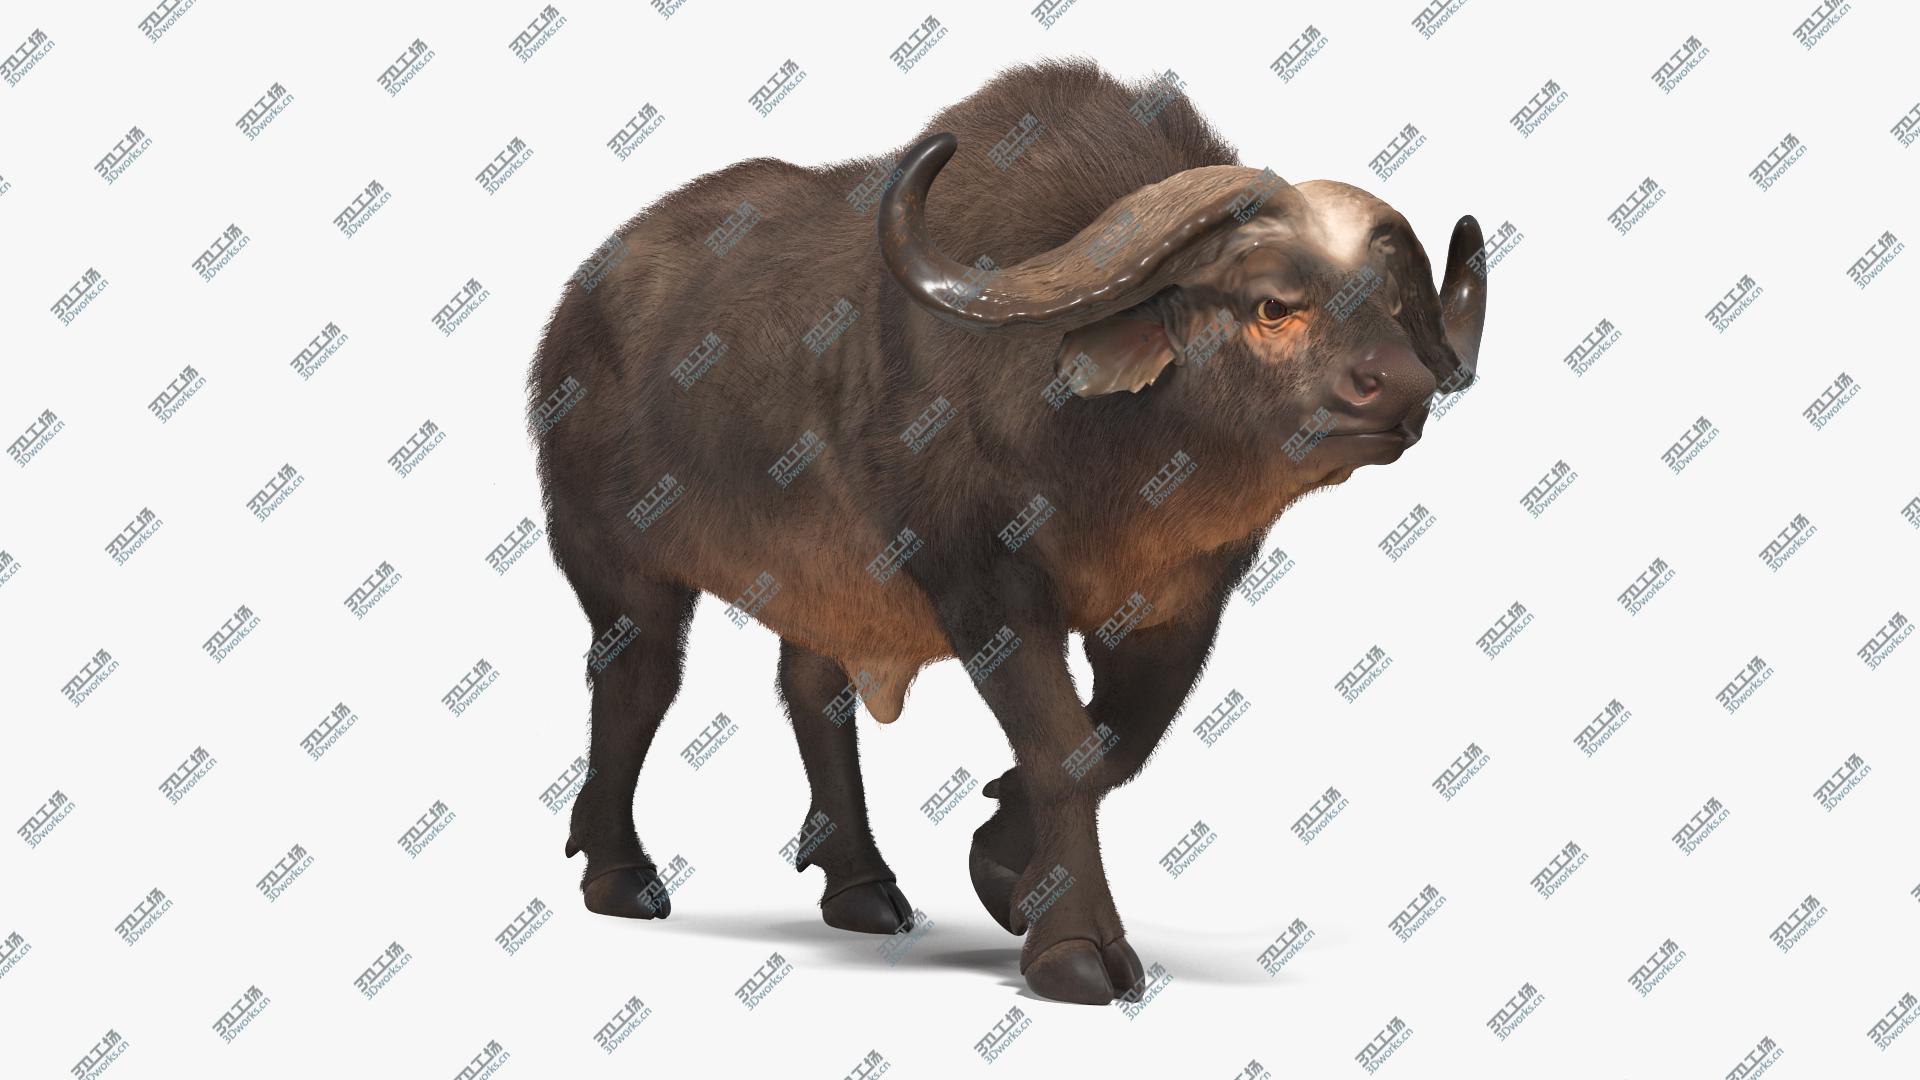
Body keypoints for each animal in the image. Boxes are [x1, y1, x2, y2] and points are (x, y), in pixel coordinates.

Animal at [527, 58, 1486, 1005]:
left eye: (1388, 303)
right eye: (1273, 305)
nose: (1404, 385)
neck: (1110, 457)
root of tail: (575, 309)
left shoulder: (1183, 606)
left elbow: (1117, 743)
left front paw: (1002, 865)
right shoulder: (984, 587)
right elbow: (1062, 746)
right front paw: (1073, 946)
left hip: (827, 586)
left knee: (811, 687)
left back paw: (862, 885)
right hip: (610, 557)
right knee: (638, 678)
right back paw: (619, 872)